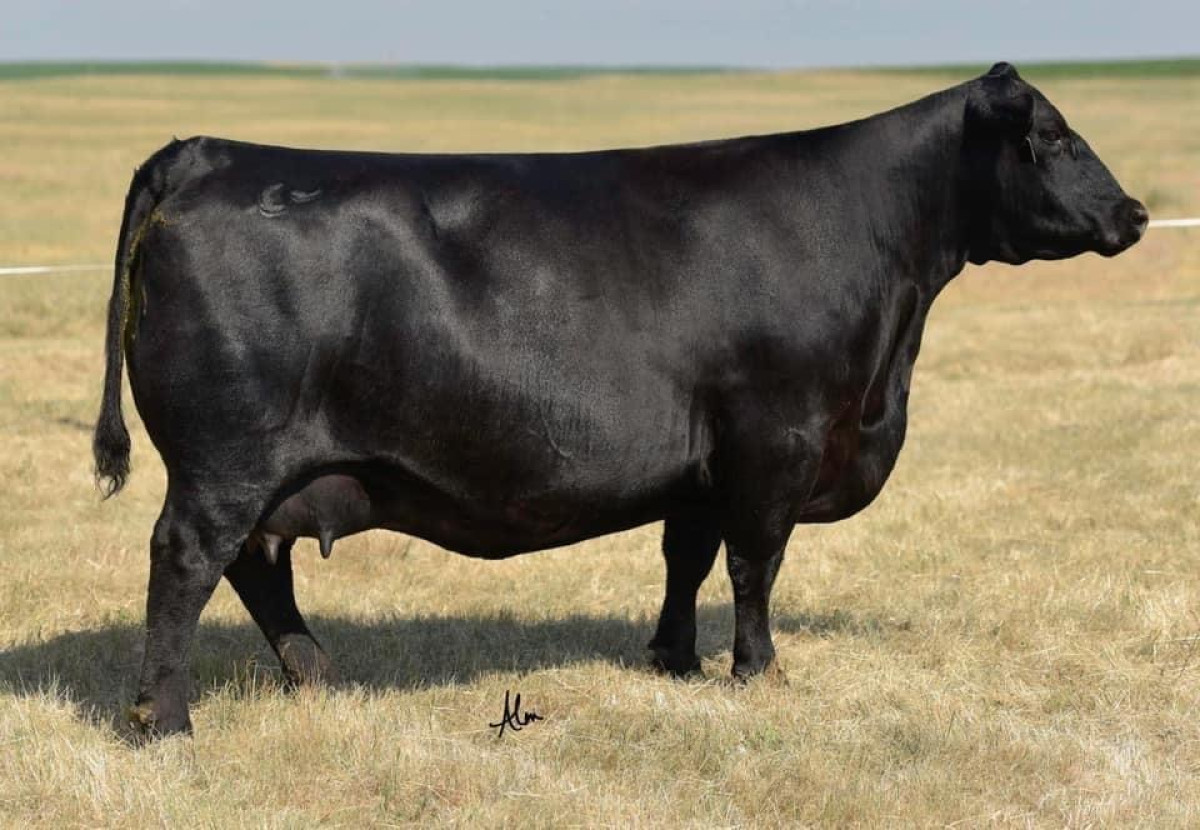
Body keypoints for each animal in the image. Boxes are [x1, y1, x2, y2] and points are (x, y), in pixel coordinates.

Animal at [93, 63, 1147, 737]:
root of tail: (205, 151)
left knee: (255, 567)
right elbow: (755, 564)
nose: (1134, 213)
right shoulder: (777, 436)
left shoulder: (701, 459)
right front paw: (758, 670)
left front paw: (673, 658)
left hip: (263, 469)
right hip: (226, 458)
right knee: (187, 559)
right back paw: (165, 719)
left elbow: (687, 555)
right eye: (1054, 136)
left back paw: (320, 679)